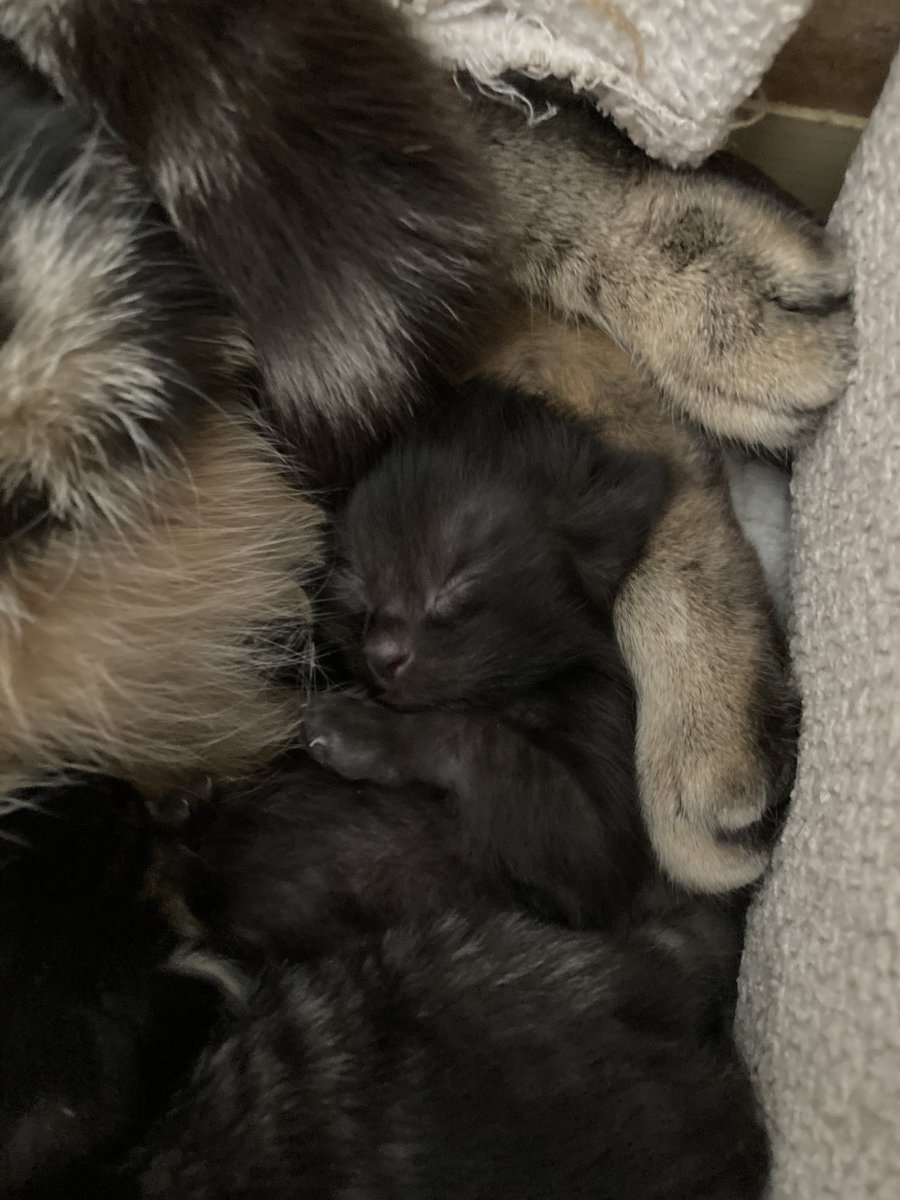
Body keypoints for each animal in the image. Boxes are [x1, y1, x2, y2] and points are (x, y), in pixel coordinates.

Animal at [307, 379, 672, 921]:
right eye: (356, 585)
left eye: (457, 582)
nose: (381, 653)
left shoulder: (599, 834)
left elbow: (482, 737)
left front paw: (367, 730)